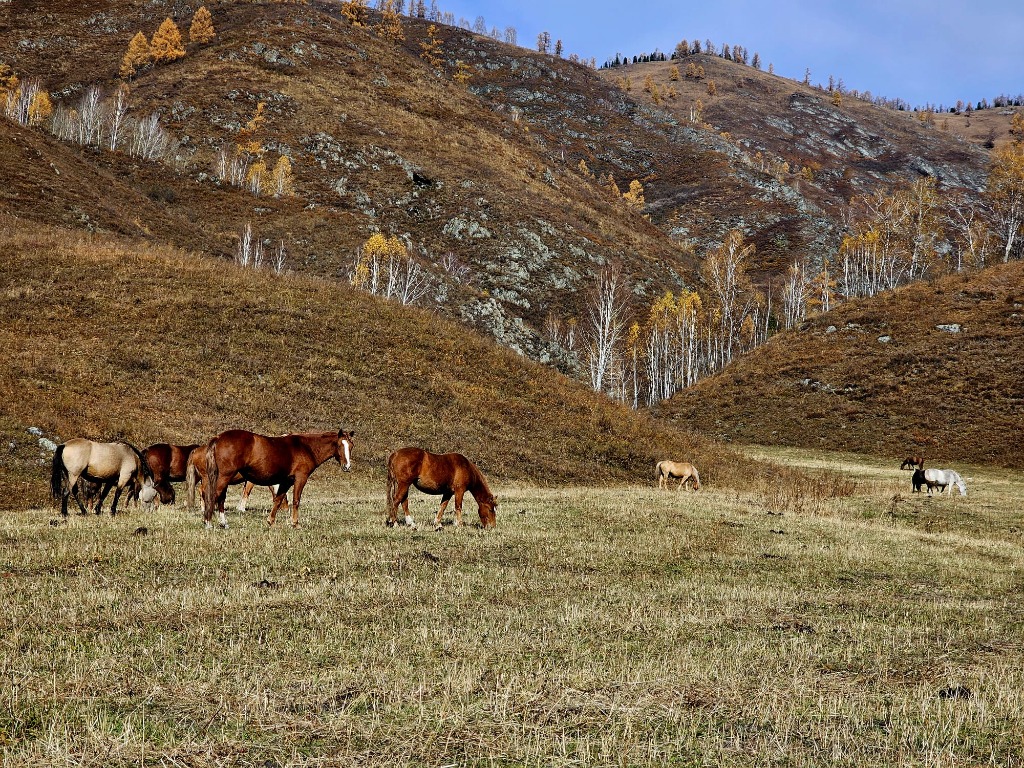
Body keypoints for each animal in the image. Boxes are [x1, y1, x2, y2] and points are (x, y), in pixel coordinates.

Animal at [202, 429, 354, 529]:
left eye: (351, 446)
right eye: (339, 445)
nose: (347, 466)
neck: (305, 447)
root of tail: (218, 437)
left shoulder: (286, 481)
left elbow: (278, 499)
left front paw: (271, 521)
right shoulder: (300, 478)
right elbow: (296, 500)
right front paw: (295, 524)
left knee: (220, 498)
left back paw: (223, 522)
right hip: (225, 476)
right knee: (214, 495)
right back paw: (208, 522)